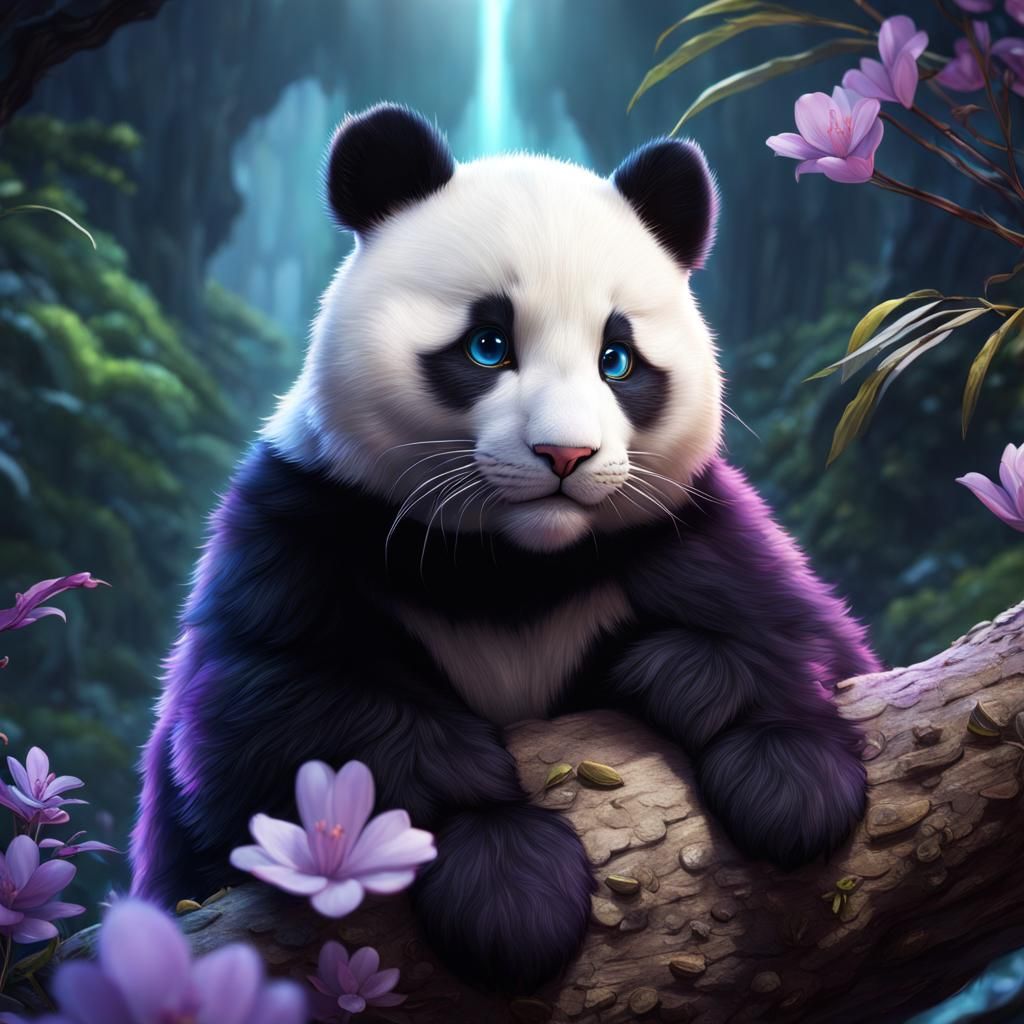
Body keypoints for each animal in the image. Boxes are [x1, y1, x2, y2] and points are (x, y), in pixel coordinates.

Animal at [130, 103, 879, 994]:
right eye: (488, 345)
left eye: (617, 359)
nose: (566, 455)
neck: (511, 564)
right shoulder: (301, 528)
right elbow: (280, 715)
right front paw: (511, 888)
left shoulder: (689, 529)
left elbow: (785, 634)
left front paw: (792, 784)